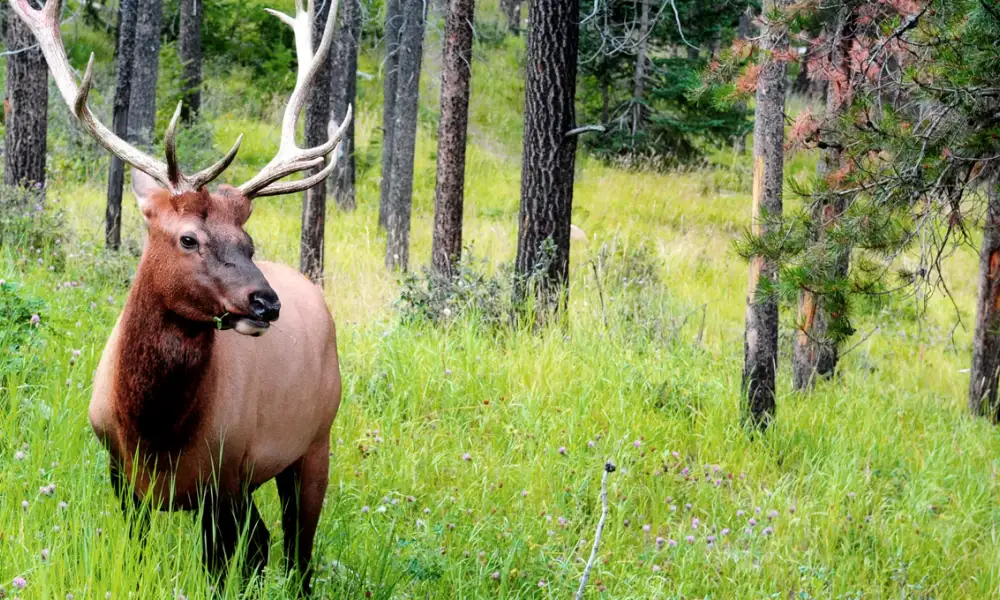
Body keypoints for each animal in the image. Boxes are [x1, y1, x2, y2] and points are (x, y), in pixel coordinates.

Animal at [9, 0, 352, 593]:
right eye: (188, 237)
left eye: (248, 242)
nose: (266, 303)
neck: (154, 430)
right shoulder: (122, 476)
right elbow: (140, 556)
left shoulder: (227, 474)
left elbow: (221, 567)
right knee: (267, 543)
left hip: (313, 443)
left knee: (296, 552)